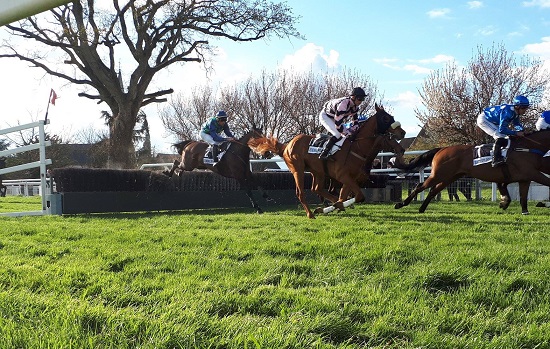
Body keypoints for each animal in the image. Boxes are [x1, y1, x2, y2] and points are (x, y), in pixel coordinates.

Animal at [248, 103, 408, 218]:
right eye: (386, 118)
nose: (402, 132)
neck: (357, 148)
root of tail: (287, 145)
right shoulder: (343, 176)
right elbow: (359, 196)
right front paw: (335, 206)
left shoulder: (349, 179)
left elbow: (346, 196)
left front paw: (336, 205)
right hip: (298, 170)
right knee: (301, 192)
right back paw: (310, 214)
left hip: (317, 171)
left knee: (317, 188)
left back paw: (329, 205)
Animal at [396, 129, 550, 213]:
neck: (527, 147)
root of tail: (442, 149)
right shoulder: (532, 173)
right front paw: (504, 202)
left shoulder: (525, 178)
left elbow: (523, 197)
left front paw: (522, 210)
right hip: (439, 174)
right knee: (420, 186)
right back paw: (401, 204)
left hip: (450, 177)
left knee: (434, 190)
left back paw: (421, 208)